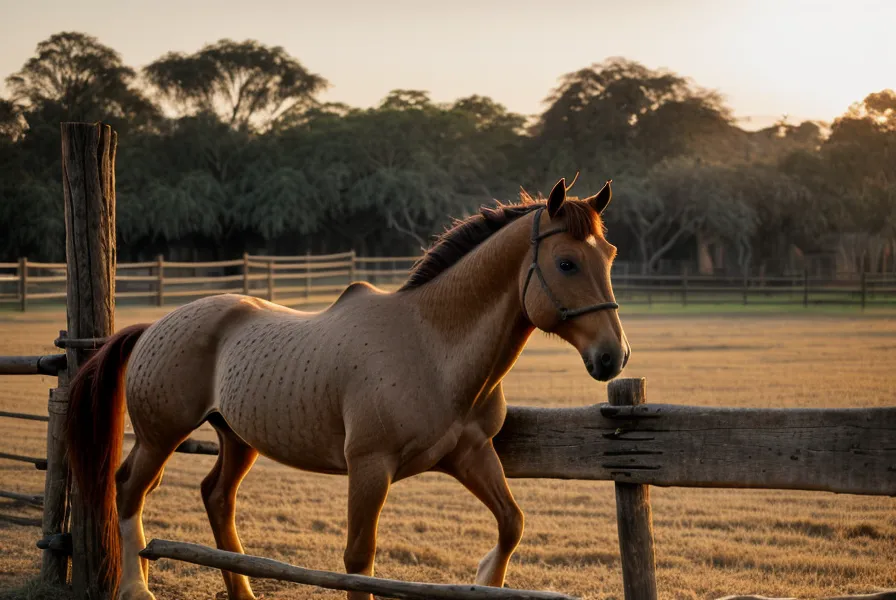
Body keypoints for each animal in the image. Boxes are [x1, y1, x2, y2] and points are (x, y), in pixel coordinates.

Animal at [66, 178, 630, 600]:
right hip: (161, 436)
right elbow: (359, 561)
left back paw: (242, 591)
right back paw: (136, 589)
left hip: (237, 439)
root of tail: (155, 326)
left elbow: (511, 523)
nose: (613, 356)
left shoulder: (471, 454)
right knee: (128, 490)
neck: (431, 346)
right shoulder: (370, 468)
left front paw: (486, 578)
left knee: (216, 498)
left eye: (610, 254)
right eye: (566, 262)